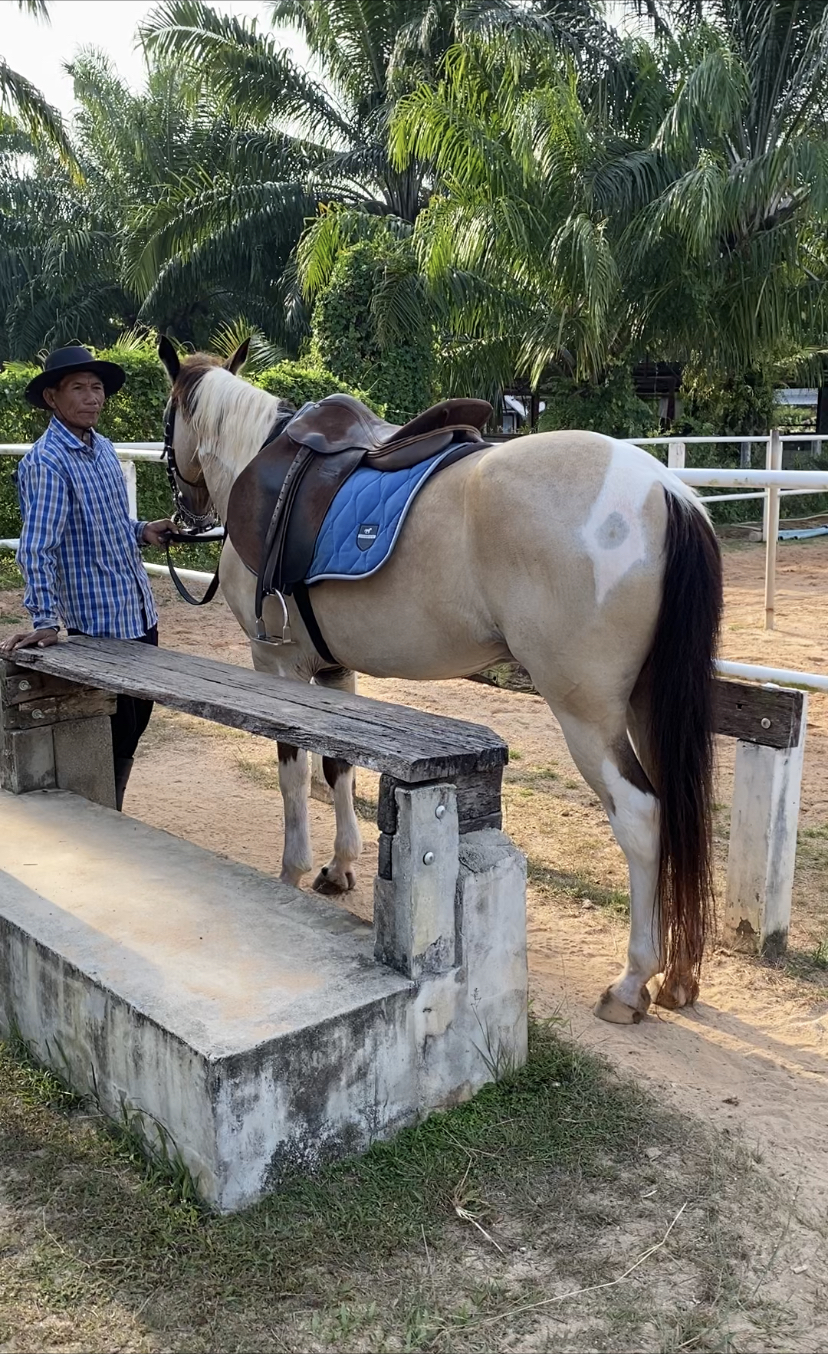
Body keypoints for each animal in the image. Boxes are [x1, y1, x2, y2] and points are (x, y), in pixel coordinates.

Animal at [156, 338, 725, 1023]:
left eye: (168, 419)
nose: (184, 513)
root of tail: (666, 489)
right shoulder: (332, 669)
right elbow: (338, 768)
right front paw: (339, 868)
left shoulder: (276, 665)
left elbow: (294, 773)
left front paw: (292, 872)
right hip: (646, 707)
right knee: (678, 818)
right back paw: (679, 976)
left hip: (589, 715)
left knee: (641, 819)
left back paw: (631, 980)